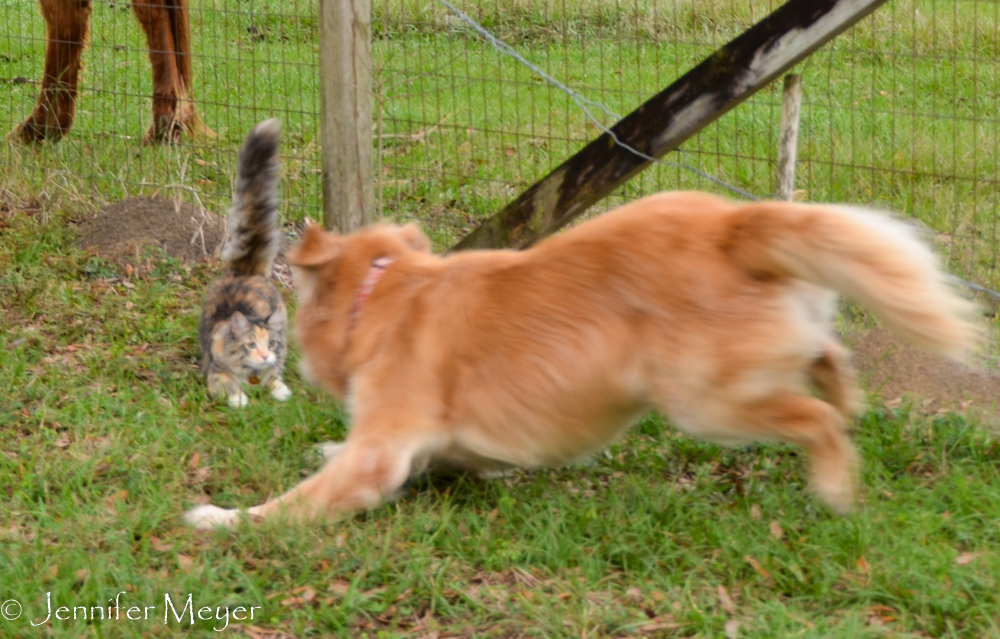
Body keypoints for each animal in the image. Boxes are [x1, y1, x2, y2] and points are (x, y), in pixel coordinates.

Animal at [186, 191, 976, 528]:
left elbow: (303, 498)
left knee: (814, 418)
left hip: (705, 402)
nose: (279, 358)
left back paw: (836, 484)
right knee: (826, 352)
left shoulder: (383, 446)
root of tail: (732, 224)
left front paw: (223, 517)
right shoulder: (433, 442)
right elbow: (431, 459)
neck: (387, 291)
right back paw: (848, 394)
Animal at [195, 119, 290, 408]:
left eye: (271, 345)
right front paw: (239, 400)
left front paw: (281, 391)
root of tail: (244, 271)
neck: (252, 374)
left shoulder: (277, 359)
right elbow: (228, 385)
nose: (264, 356)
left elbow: (276, 376)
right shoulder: (214, 372)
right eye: (251, 345)